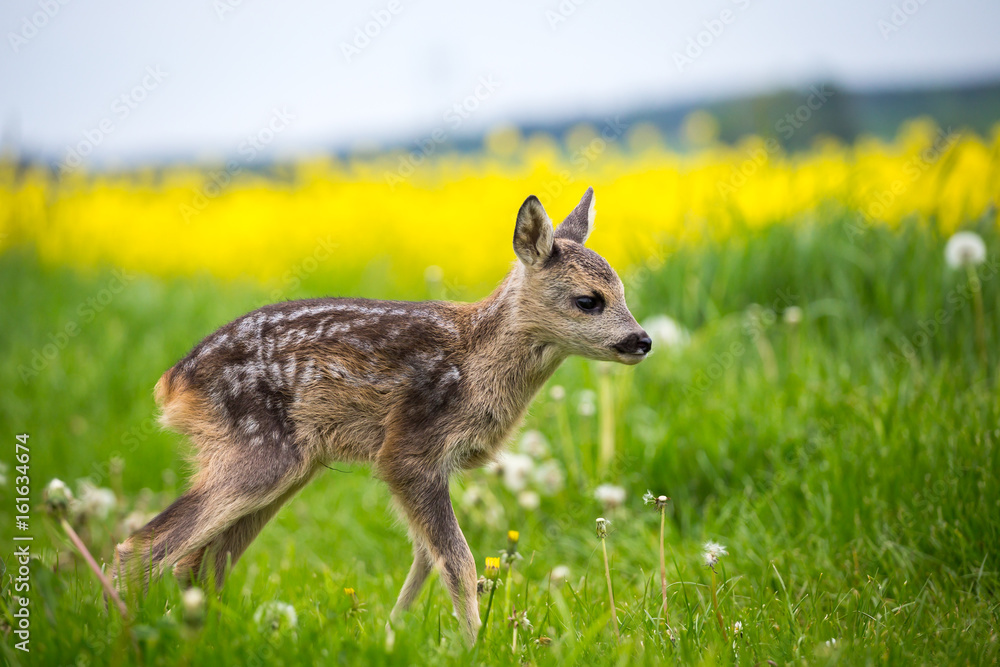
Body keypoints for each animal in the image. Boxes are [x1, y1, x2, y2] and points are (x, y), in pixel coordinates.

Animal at [113, 187, 651, 644]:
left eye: (624, 291)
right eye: (588, 300)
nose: (642, 340)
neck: (475, 362)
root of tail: (173, 382)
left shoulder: (425, 464)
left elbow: (425, 560)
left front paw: (392, 634)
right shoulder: (409, 449)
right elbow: (457, 560)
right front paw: (477, 645)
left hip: (284, 466)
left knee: (201, 563)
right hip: (260, 452)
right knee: (144, 547)